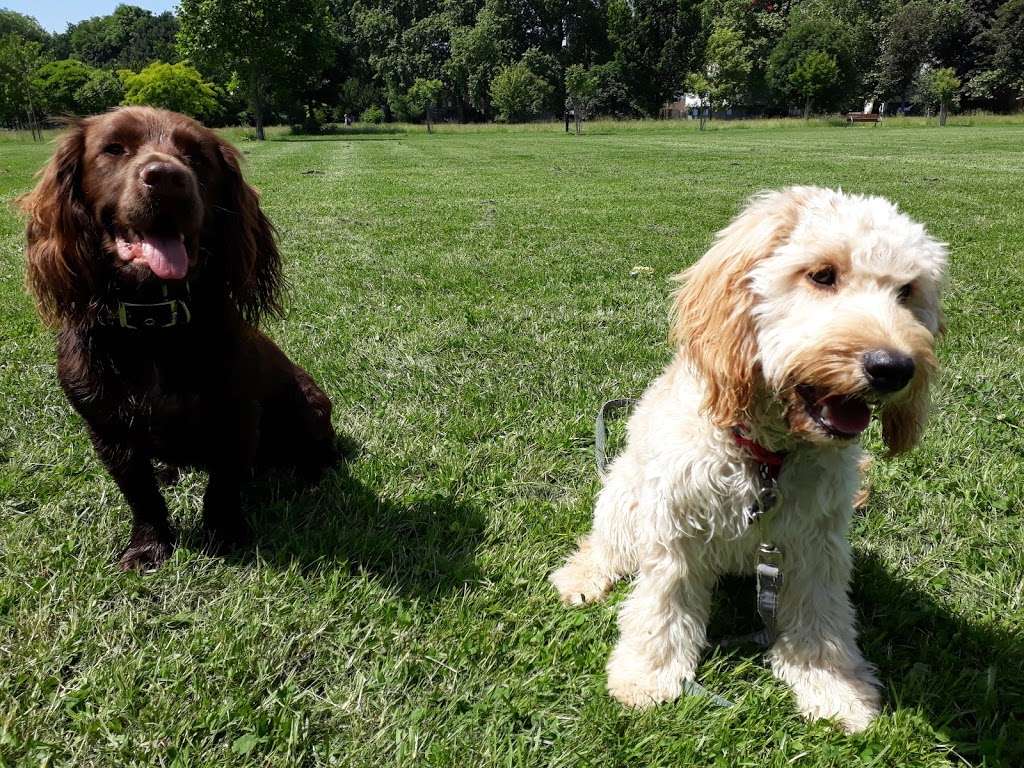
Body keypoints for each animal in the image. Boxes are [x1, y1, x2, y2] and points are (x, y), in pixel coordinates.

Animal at [20, 105, 335, 569]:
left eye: (197, 156)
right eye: (114, 148)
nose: (167, 177)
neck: (154, 324)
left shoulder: (237, 416)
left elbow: (222, 486)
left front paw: (225, 536)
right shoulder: (107, 428)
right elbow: (141, 494)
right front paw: (148, 547)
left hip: (309, 406)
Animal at [552, 186, 942, 733]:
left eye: (907, 291)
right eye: (822, 274)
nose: (893, 367)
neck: (767, 455)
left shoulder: (814, 542)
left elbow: (822, 616)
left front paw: (834, 689)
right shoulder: (674, 527)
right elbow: (661, 605)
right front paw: (646, 677)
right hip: (624, 498)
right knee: (604, 545)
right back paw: (581, 577)